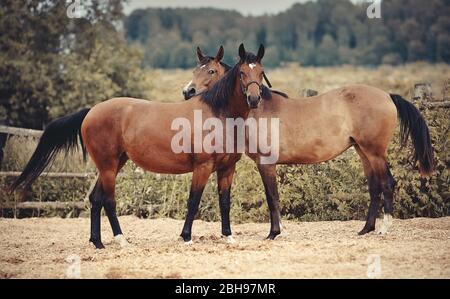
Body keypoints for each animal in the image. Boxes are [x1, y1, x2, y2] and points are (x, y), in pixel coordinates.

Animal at [9, 44, 270, 248]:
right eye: (242, 73)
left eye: (261, 72)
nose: (254, 98)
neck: (217, 114)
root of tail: (92, 111)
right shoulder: (202, 167)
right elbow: (193, 201)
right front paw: (186, 237)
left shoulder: (227, 168)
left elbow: (224, 202)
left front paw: (228, 236)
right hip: (108, 166)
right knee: (108, 200)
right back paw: (121, 239)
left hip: (113, 164)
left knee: (95, 198)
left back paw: (98, 242)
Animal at [185, 46, 434, 239]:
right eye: (195, 69)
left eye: (211, 70)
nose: (188, 91)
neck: (258, 111)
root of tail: (387, 95)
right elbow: (274, 197)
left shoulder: (266, 163)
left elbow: (272, 196)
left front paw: (274, 233)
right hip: (363, 153)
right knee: (374, 187)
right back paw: (366, 229)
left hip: (375, 153)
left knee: (387, 184)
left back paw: (383, 229)